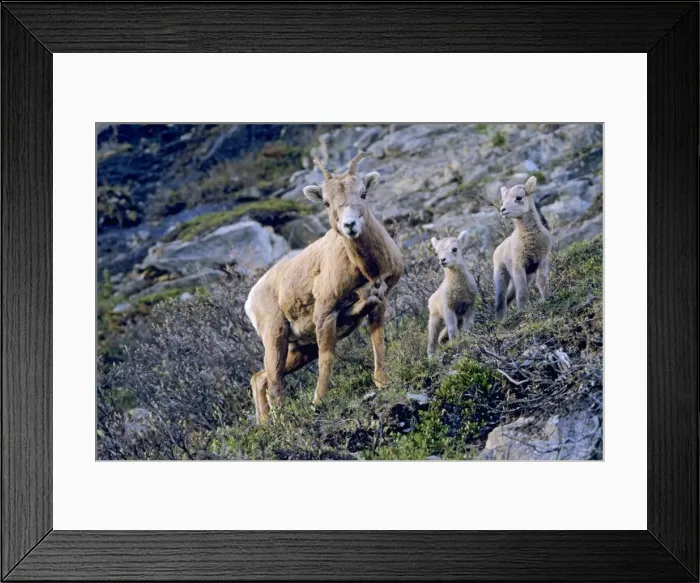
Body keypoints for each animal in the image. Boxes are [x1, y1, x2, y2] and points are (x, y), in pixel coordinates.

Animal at [244, 151, 404, 423]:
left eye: (363, 193)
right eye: (327, 203)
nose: (350, 225)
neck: (367, 270)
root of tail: (250, 300)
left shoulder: (379, 301)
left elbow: (378, 339)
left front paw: (382, 382)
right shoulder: (325, 314)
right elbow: (327, 358)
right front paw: (317, 403)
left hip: (301, 349)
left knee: (261, 377)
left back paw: (265, 423)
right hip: (276, 335)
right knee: (274, 380)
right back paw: (281, 422)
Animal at [493, 176, 552, 320]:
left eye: (519, 197)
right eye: (504, 199)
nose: (503, 210)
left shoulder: (542, 260)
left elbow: (542, 281)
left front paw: (546, 300)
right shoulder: (518, 265)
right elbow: (523, 291)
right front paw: (522, 312)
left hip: (526, 275)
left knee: (509, 296)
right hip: (500, 274)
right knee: (500, 299)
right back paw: (500, 320)